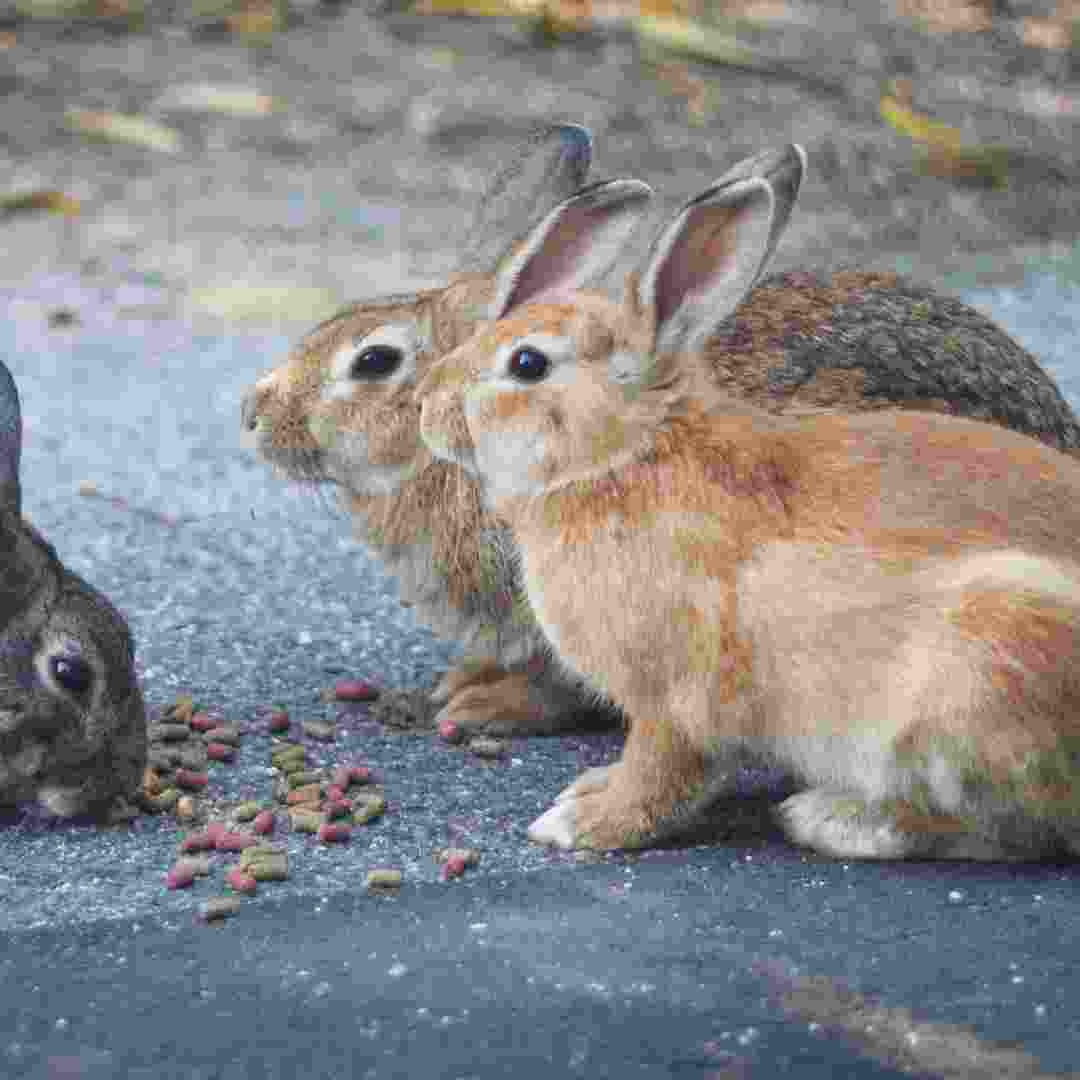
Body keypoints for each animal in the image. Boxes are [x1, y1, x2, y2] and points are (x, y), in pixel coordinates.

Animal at [414, 154, 1080, 859]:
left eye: (527, 363)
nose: (426, 404)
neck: (624, 457)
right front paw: (589, 791)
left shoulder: (674, 702)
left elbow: (658, 772)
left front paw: (583, 822)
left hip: (984, 672)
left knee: (1006, 825)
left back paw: (832, 819)